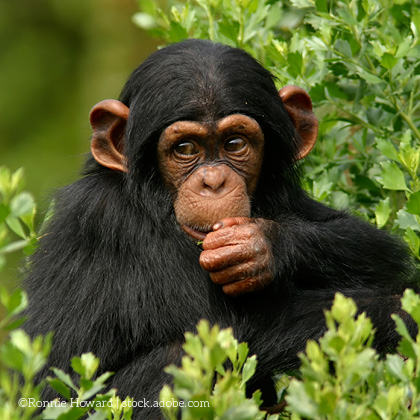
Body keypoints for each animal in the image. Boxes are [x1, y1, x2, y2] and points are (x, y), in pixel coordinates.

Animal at [24, 38, 418, 416]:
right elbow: (222, 329)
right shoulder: (112, 223)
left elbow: (375, 247)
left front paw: (261, 245)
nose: (213, 182)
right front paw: (399, 313)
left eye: (234, 144)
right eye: (185, 148)